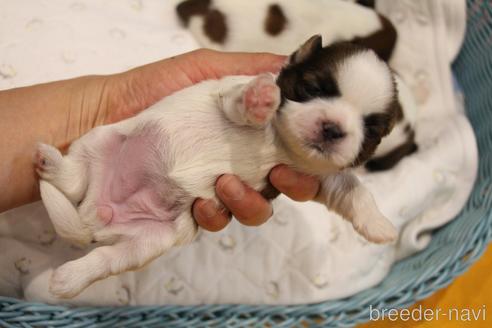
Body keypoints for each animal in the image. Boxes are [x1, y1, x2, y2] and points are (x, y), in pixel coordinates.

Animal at [37, 36, 400, 300]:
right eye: (312, 88)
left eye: (370, 128)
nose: (333, 128)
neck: (282, 143)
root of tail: (94, 214)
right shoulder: (228, 94)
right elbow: (242, 103)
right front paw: (262, 98)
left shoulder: (321, 175)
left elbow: (355, 190)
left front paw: (381, 226)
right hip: (100, 138)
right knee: (73, 178)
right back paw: (50, 164)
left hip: (149, 243)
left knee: (107, 259)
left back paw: (67, 279)